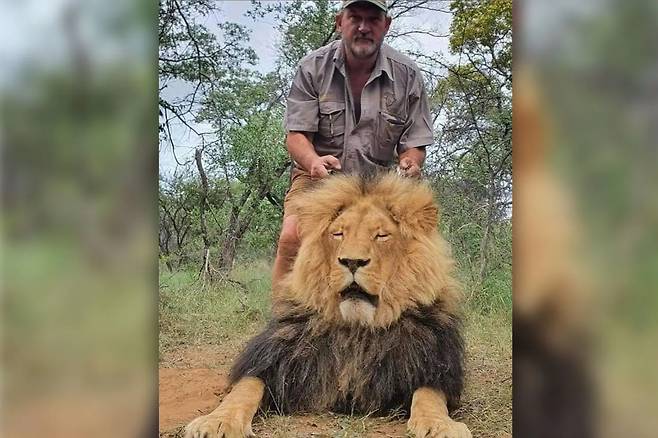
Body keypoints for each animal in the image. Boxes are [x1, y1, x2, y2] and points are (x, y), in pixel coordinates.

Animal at [184, 175, 468, 438]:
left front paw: (441, 426)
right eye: (338, 233)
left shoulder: (433, 366)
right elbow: (244, 389)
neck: (357, 330)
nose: (352, 261)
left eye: (381, 235)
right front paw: (216, 421)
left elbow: (429, 396)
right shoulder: (274, 362)